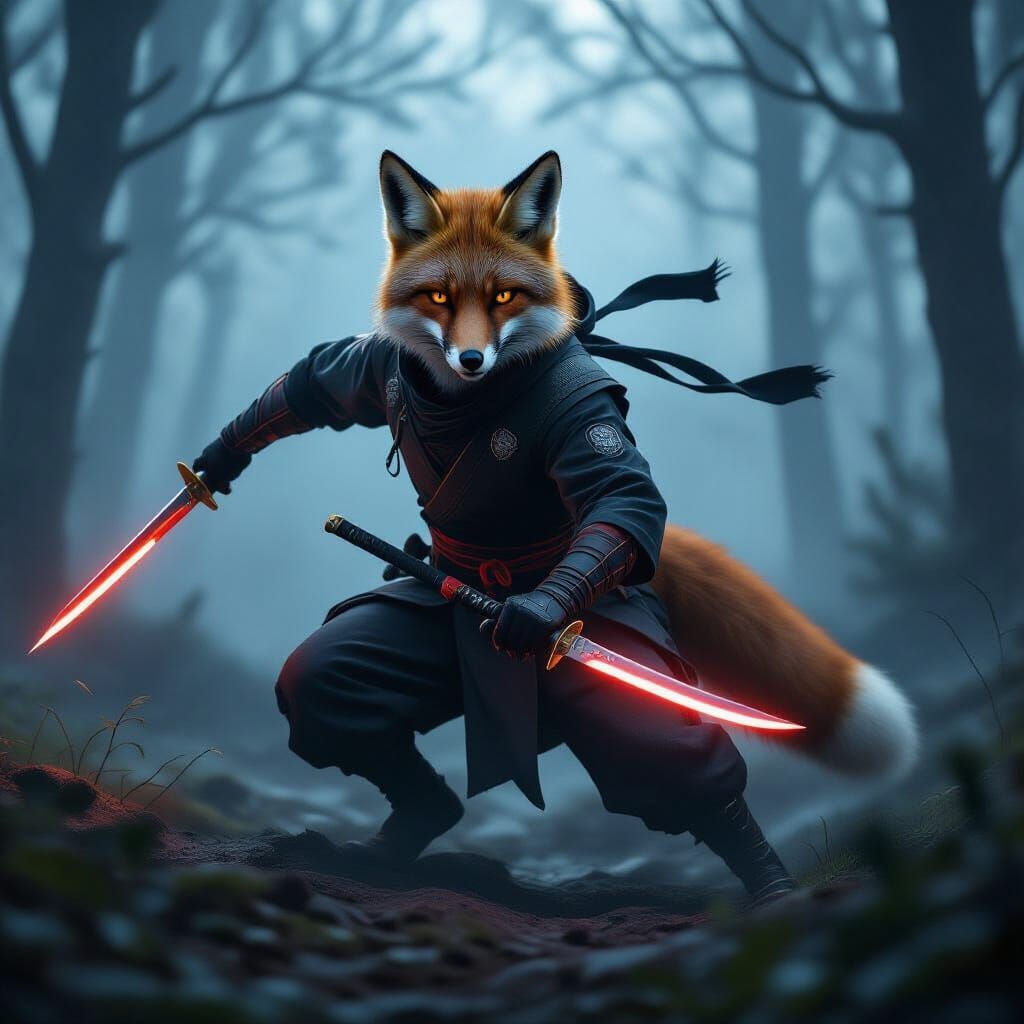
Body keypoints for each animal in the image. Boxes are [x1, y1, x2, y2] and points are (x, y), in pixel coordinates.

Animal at [374, 149, 919, 780]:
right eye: (438, 297)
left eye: (504, 297)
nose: (470, 359)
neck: (461, 403)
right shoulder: (371, 357)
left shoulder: (588, 414)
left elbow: (624, 496)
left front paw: (532, 617)